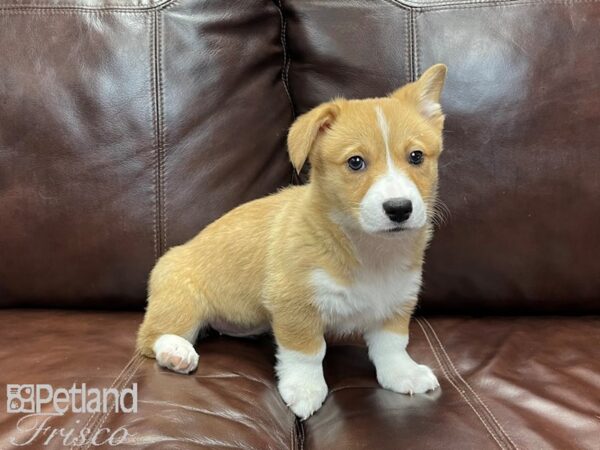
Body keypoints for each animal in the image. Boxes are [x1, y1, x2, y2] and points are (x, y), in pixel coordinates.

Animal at [136, 62, 446, 418]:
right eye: (355, 162)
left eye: (416, 156)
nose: (399, 209)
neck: (369, 248)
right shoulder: (294, 304)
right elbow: (307, 353)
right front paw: (305, 390)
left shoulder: (396, 301)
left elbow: (392, 345)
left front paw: (403, 374)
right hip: (180, 299)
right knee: (151, 336)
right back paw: (175, 351)